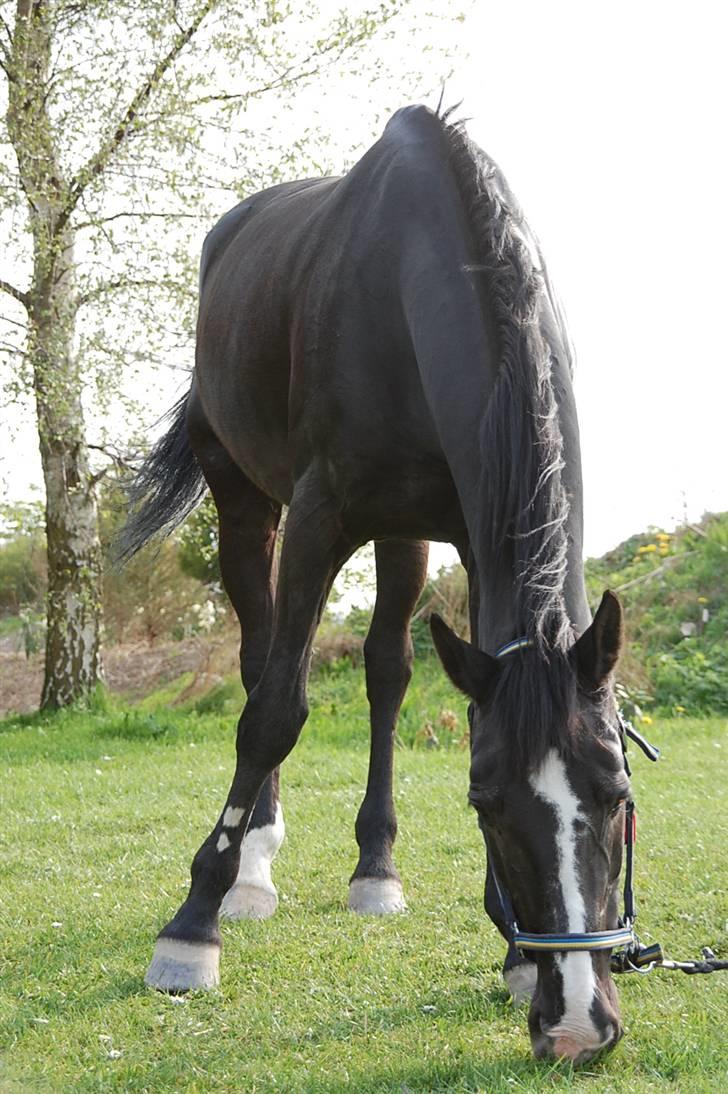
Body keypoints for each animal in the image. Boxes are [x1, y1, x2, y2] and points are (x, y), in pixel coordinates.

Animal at [121, 105, 630, 1063]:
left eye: (616, 796)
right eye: (484, 802)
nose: (578, 1024)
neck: (417, 273)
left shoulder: (464, 536)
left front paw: (512, 954)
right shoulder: (320, 515)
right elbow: (273, 713)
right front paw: (192, 927)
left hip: (404, 539)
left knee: (388, 673)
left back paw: (375, 867)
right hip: (247, 500)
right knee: (259, 661)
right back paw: (252, 868)